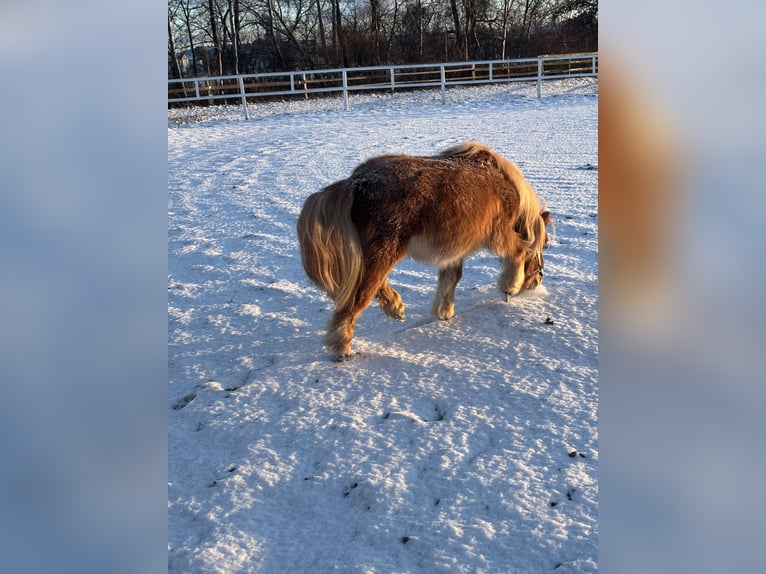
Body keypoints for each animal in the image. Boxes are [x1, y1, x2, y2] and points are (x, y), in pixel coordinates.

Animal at [297, 141, 552, 360]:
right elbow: (519, 249)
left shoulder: (455, 251)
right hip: (383, 254)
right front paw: (510, 286)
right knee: (357, 298)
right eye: (545, 245)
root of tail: (355, 183)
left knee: (369, 286)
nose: (536, 282)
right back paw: (342, 345)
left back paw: (395, 307)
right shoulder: (498, 233)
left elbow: (451, 278)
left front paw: (444, 311)